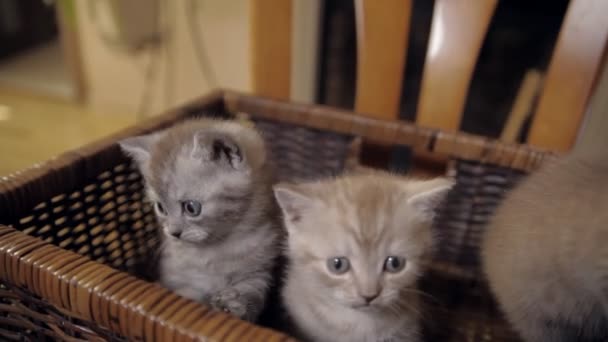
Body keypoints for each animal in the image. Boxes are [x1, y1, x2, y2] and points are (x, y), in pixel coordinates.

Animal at [119, 118, 280, 320]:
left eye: (191, 208)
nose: (173, 233)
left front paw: (234, 303)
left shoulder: (261, 270)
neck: (217, 250)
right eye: (161, 207)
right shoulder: (179, 279)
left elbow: (253, 291)